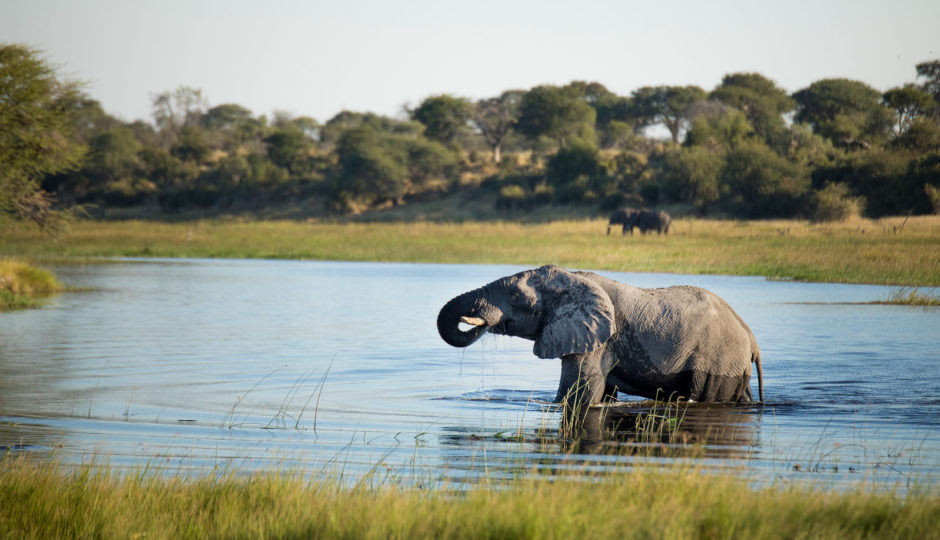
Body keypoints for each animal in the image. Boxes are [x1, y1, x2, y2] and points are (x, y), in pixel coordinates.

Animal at [440, 264, 764, 412]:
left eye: (517, 297)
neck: (572, 278)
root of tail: (751, 338)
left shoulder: (596, 340)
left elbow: (577, 395)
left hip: (717, 361)